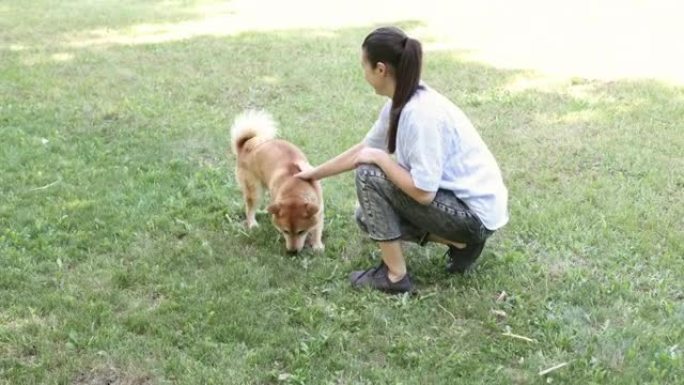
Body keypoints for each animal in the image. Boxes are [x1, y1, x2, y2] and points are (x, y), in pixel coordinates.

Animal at [231, 109, 324, 252]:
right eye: (285, 231)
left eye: (301, 232)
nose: (292, 252)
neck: (295, 187)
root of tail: (245, 146)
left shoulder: (319, 209)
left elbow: (317, 228)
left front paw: (317, 245)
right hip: (255, 191)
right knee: (249, 208)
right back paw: (252, 224)